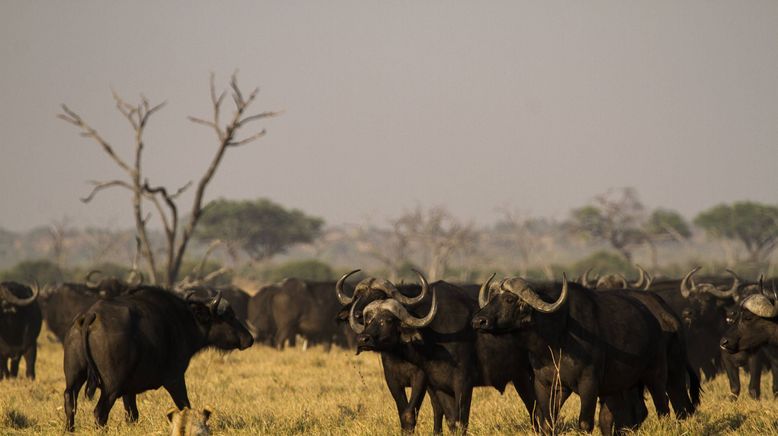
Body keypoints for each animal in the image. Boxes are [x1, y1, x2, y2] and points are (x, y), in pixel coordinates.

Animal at [63, 284, 253, 430]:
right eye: (229, 316)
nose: (249, 339)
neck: (183, 320)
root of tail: (91, 315)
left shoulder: (129, 389)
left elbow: (132, 415)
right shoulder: (175, 379)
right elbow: (185, 406)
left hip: (74, 379)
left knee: (70, 403)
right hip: (111, 387)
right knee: (99, 413)